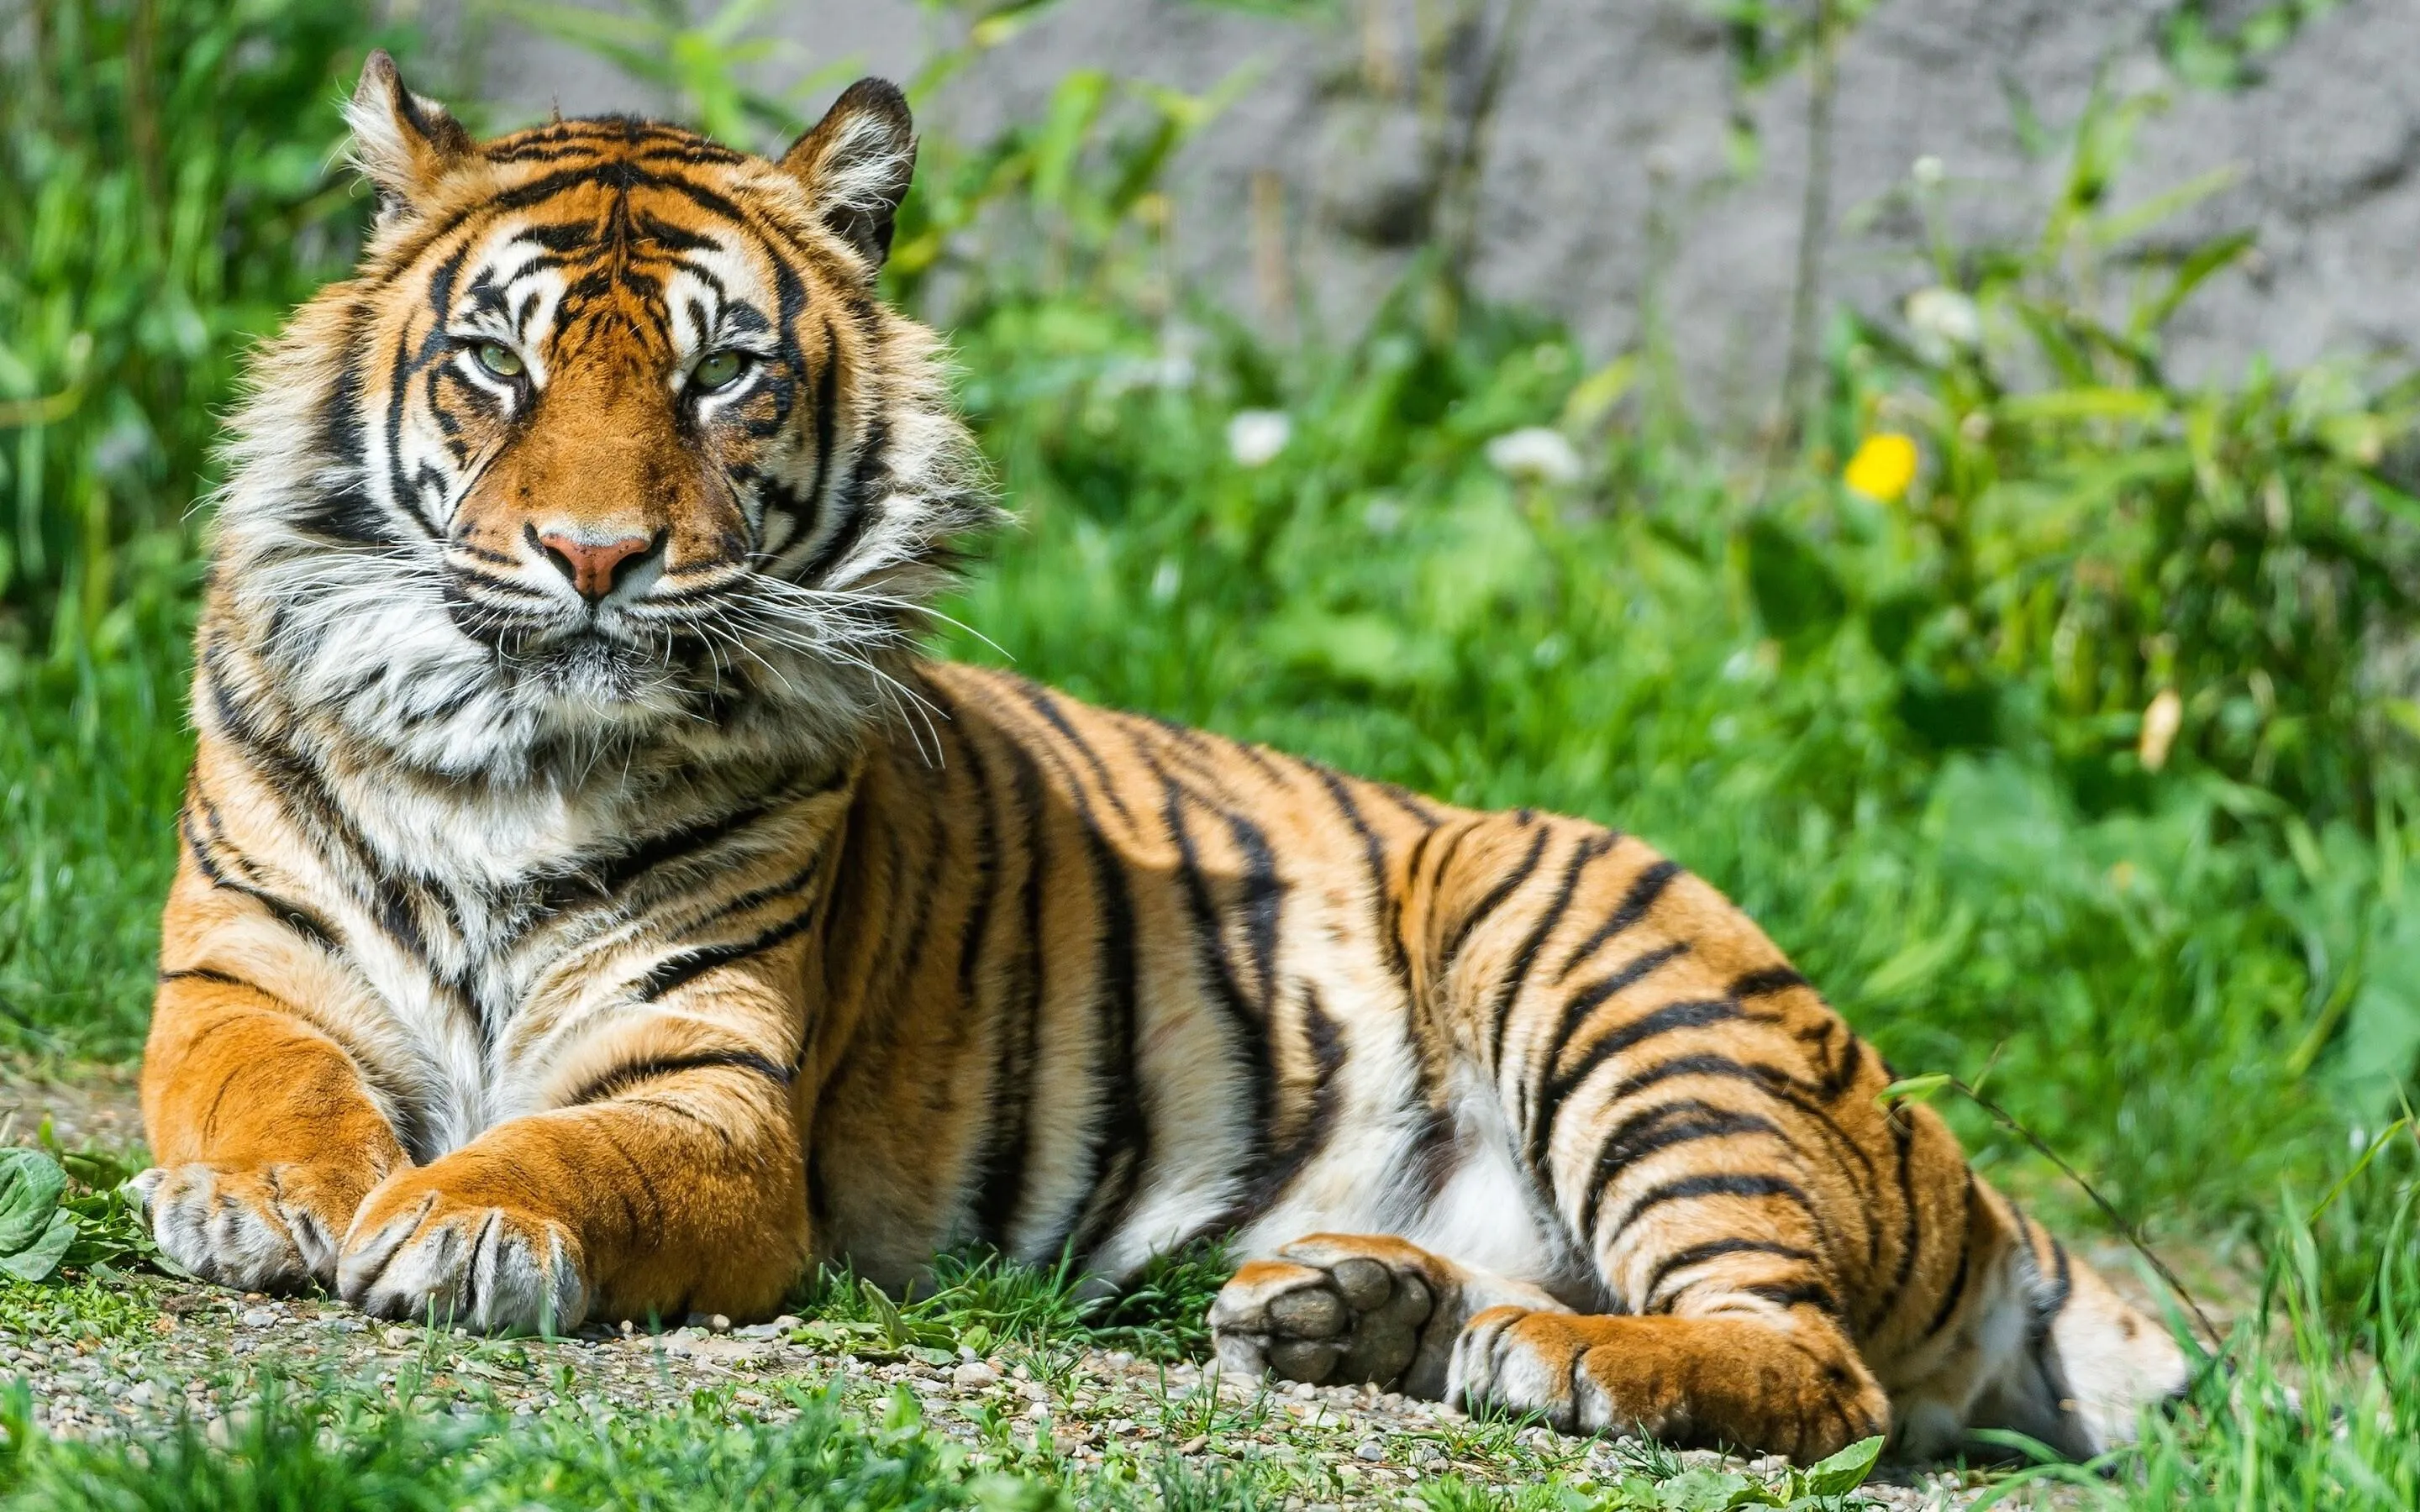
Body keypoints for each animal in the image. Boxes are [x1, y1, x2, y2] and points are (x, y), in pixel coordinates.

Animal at [134, 50, 2191, 1465]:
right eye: (499, 361)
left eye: (726, 375)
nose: (592, 557)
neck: (516, 749)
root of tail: (1945, 1154)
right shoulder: (238, 977)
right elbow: (260, 1086)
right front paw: (262, 1203)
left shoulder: (703, 1088)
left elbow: (572, 1155)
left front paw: (459, 1220)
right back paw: (1347, 1312)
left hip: (1616, 979)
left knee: (1819, 1371)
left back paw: (1557, 1360)